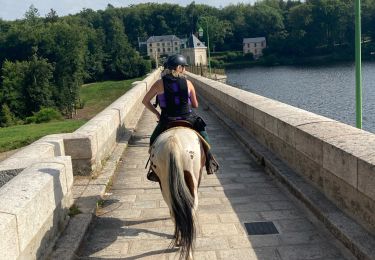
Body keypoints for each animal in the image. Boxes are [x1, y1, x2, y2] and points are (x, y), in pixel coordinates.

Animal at [149, 126, 207, 258]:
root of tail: (173, 143)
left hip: (165, 183)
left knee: (174, 210)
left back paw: (180, 241)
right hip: (191, 178)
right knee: (190, 211)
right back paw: (187, 251)